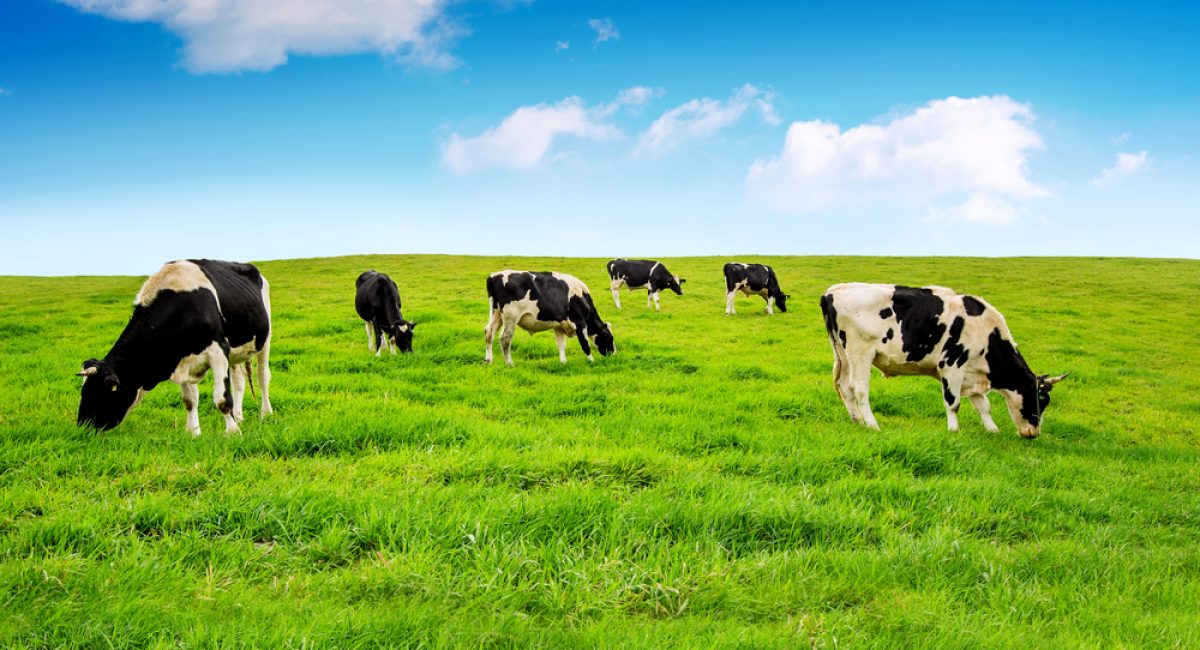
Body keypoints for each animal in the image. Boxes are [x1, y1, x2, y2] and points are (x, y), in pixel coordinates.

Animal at [76, 260, 272, 438]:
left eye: (99, 392)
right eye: (83, 390)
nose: (82, 426)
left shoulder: (218, 350)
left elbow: (222, 399)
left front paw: (232, 432)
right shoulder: (181, 358)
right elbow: (189, 400)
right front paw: (193, 432)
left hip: (265, 340)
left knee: (262, 377)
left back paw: (265, 413)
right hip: (236, 353)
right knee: (240, 380)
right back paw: (238, 416)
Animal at [487, 269, 619, 366]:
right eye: (609, 337)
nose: (614, 354)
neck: (582, 297)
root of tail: (494, 276)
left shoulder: (559, 325)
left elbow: (561, 345)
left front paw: (563, 362)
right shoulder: (579, 322)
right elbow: (585, 344)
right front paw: (591, 361)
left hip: (496, 313)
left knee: (489, 333)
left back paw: (488, 360)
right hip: (511, 317)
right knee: (505, 339)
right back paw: (509, 363)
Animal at [816, 284, 1070, 441]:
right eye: (1041, 399)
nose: (1034, 433)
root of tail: (831, 292)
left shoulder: (971, 373)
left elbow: (984, 405)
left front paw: (992, 430)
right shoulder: (952, 366)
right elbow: (953, 402)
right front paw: (954, 430)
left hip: (842, 354)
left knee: (845, 388)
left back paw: (856, 421)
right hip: (860, 352)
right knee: (859, 389)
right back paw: (871, 424)